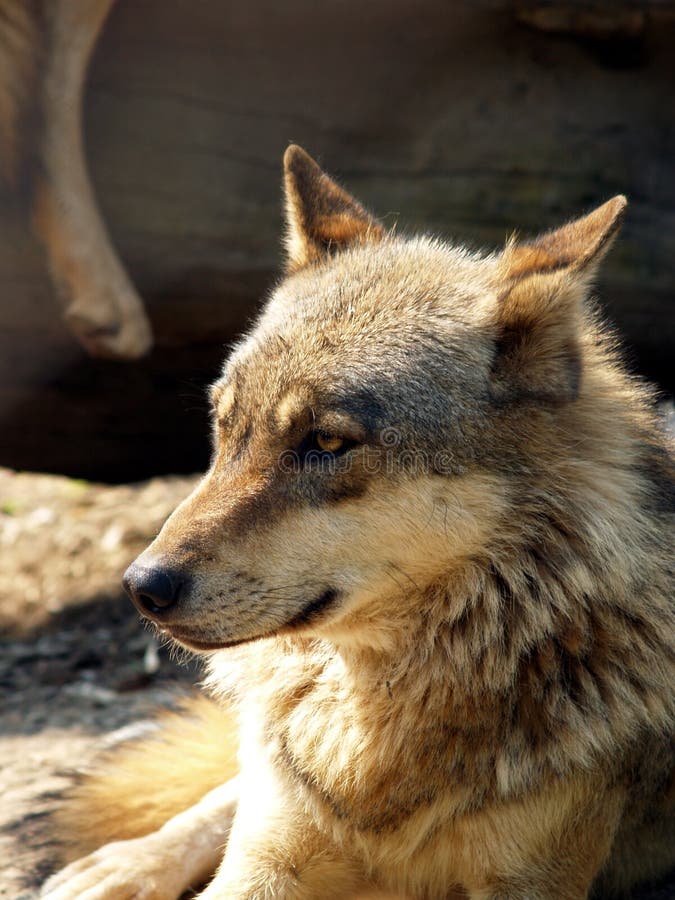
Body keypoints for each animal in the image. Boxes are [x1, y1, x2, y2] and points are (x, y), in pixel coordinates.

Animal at [43, 144, 675, 896]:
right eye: (225, 427)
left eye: (326, 442)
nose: (143, 586)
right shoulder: (268, 854)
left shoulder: (530, 879)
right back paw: (120, 866)